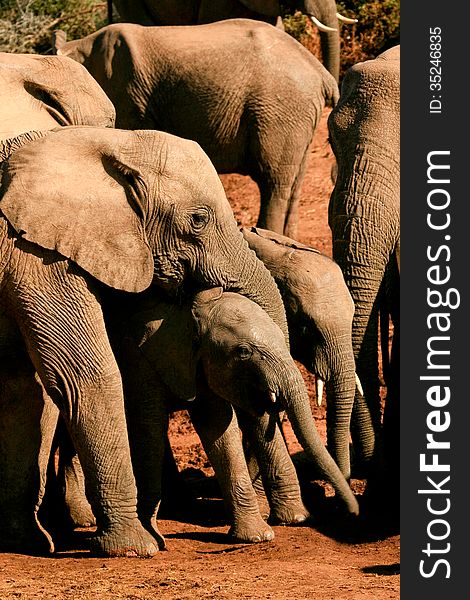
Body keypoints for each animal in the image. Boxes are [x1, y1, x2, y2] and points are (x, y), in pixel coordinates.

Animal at [0, 125, 288, 556]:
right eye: (198, 220)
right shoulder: (36, 255)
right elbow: (87, 376)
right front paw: (135, 548)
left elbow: (23, 390)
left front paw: (24, 540)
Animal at [53, 21, 340, 238]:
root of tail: (322, 74)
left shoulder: (125, 93)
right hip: (298, 118)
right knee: (294, 182)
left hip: (280, 110)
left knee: (274, 181)